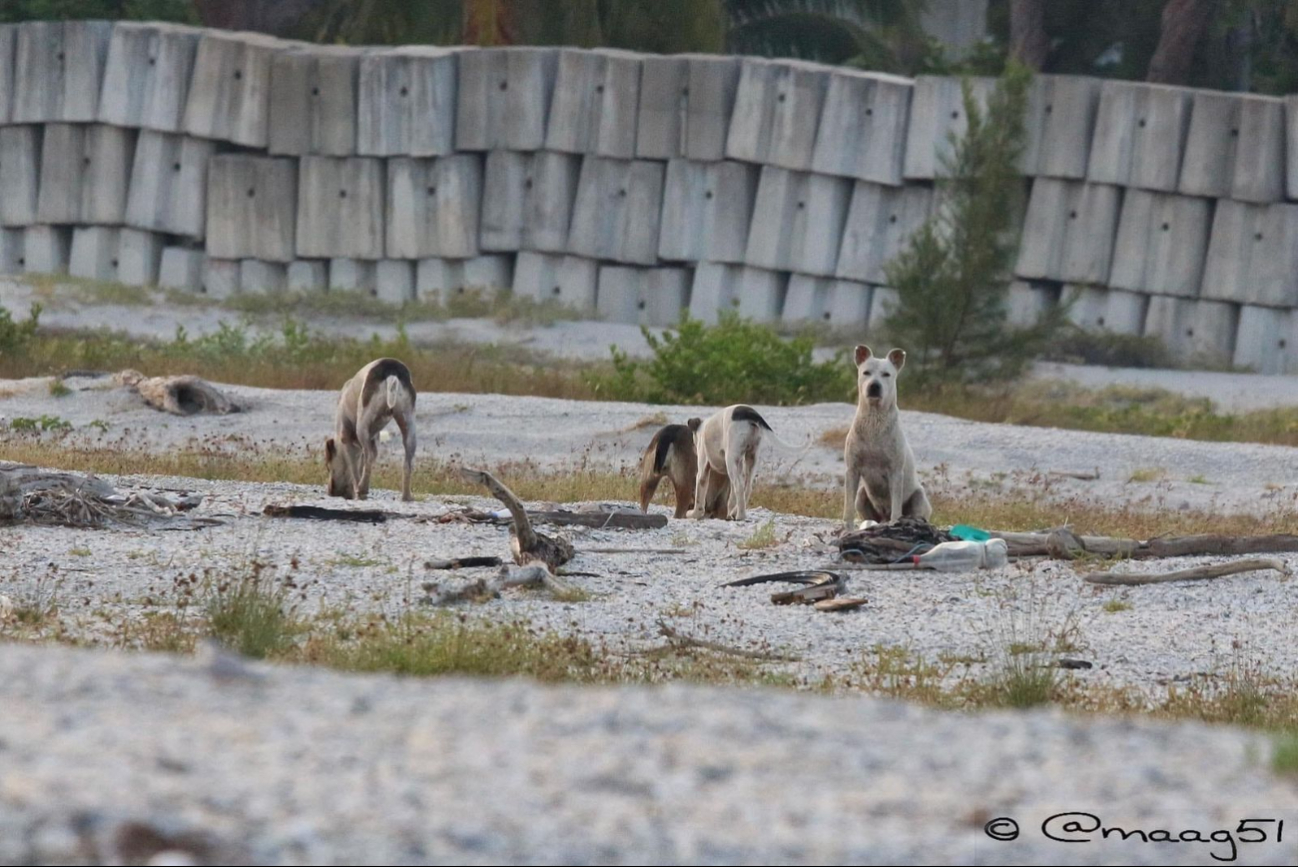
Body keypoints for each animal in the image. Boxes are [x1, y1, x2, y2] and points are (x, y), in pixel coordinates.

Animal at [846, 347, 929, 529]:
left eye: (886, 374)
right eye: (866, 372)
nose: (874, 386)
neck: (874, 421)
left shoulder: (895, 472)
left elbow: (896, 508)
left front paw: (895, 523)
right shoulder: (852, 470)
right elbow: (847, 509)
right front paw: (846, 529)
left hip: (919, 497)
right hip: (861, 496)